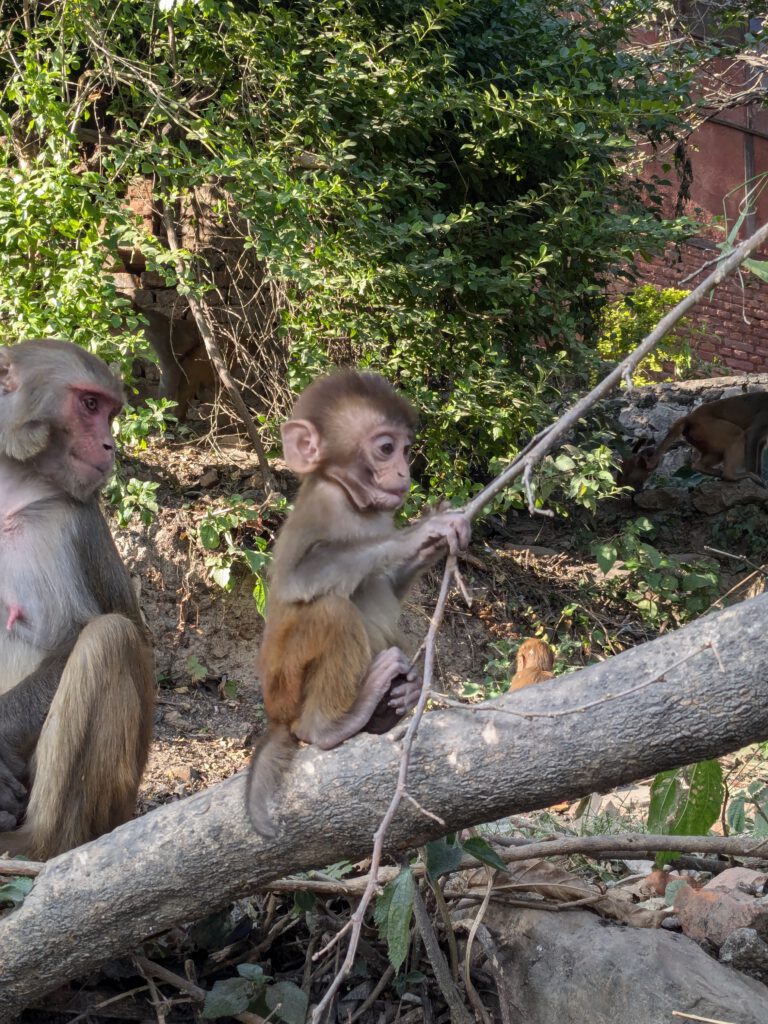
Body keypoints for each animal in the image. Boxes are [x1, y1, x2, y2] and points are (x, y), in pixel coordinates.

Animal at [0, 339, 154, 860]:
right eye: (89, 405)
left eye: (110, 413)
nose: (110, 446)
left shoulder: (67, 523)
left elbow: (76, 638)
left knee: (110, 639)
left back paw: (37, 845)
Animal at [249, 372, 473, 835]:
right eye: (386, 448)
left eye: (406, 448)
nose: (405, 470)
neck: (355, 502)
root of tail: (276, 715)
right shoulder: (327, 505)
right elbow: (300, 579)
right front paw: (422, 529)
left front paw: (432, 543)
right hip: (286, 682)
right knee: (331, 610)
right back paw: (330, 725)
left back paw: (393, 705)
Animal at [618, 391, 768, 491]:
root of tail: (691, 417)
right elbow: (751, 435)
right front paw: (754, 475)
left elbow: (760, 444)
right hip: (708, 426)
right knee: (737, 435)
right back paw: (730, 476)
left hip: (698, 434)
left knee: (716, 452)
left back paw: (701, 467)